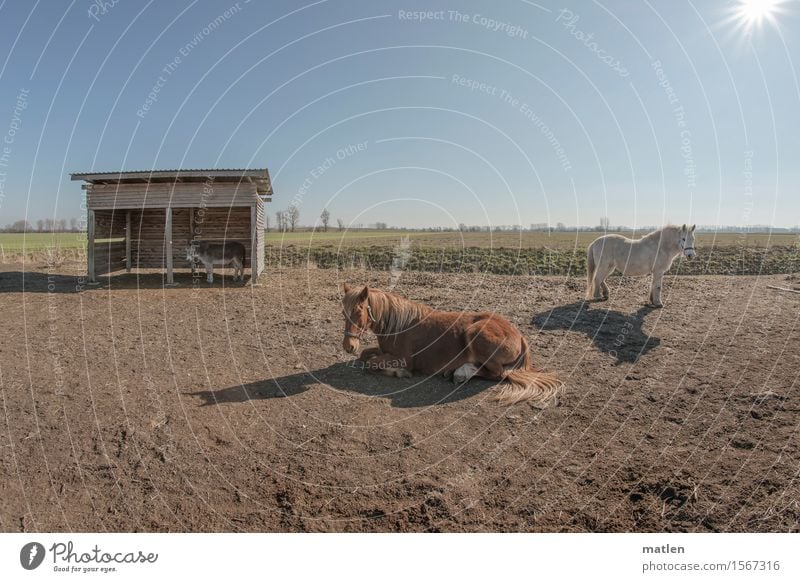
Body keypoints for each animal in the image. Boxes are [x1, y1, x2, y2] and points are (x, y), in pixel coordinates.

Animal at [342, 286, 564, 408]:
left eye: (359, 311)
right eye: (343, 312)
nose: (348, 346)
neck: (400, 325)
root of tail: (519, 334)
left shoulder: (403, 358)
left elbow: (371, 364)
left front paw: (400, 373)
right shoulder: (384, 351)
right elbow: (365, 355)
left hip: (477, 334)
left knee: (497, 374)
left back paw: (460, 373)